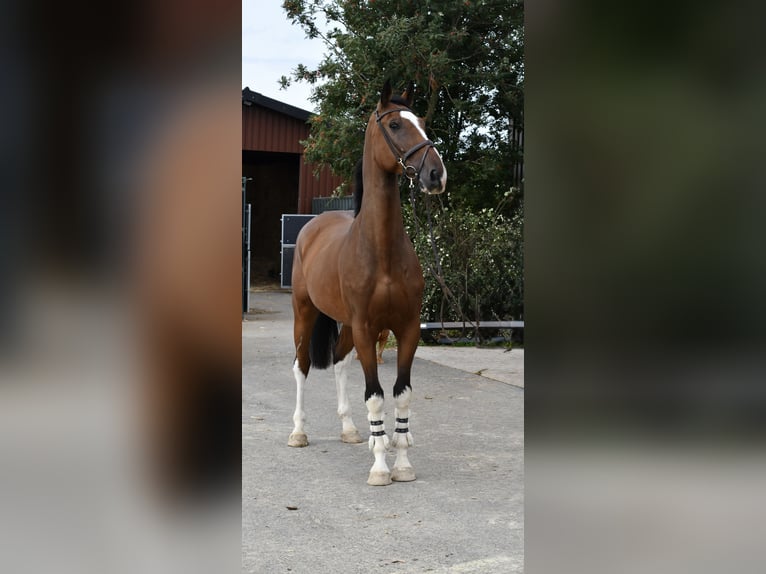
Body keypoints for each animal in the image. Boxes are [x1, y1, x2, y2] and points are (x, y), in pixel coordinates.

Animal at [288, 80, 447, 486]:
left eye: (422, 122)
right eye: (395, 125)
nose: (436, 175)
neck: (382, 252)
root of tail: (314, 225)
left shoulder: (405, 328)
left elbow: (401, 394)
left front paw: (401, 461)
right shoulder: (365, 326)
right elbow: (375, 396)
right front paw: (379, 468)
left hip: (347, 326)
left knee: (340, 363)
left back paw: (349, 430)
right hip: (305, 313)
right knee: (302, 366)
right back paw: (298, 432)